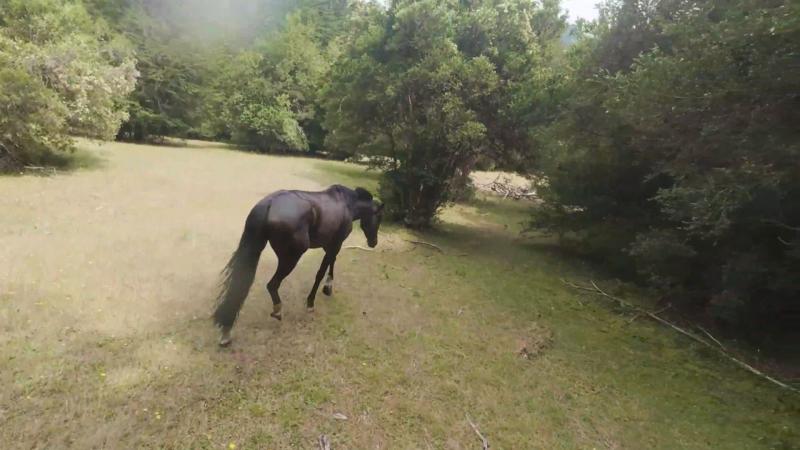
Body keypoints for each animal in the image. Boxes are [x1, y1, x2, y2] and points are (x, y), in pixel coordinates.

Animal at [212, 185, 384, 346]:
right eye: (379, 218)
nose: (373, 242)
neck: (347, 204)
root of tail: (269, 203)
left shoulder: (330, 245)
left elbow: (332, 263)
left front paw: (328, 288)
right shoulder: (336, 244)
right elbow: (321, 271)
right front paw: (311, 302)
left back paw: (226, 332)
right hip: (291, 258)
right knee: (272, 284)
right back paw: (278, 310)